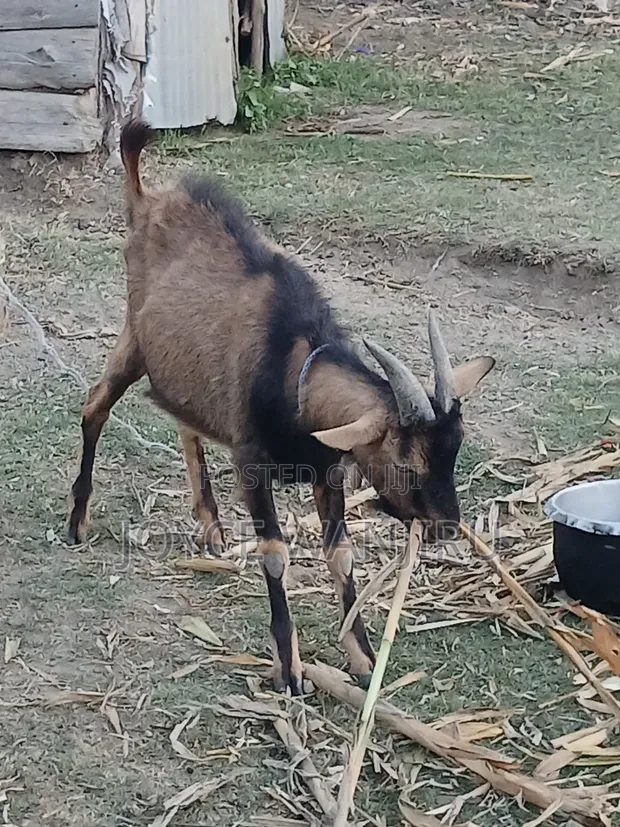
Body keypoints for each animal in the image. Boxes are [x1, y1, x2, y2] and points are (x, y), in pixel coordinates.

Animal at [68, 119, 495, 695]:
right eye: (407, 460)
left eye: (456, 450)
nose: (447, 526)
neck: (293, 363)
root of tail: (144, 198)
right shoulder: (251, 464)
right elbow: (274, 554)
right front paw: (289, 670)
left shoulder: (329, 469)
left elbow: (340, 552)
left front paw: (363, 659)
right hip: (133, 339)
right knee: (95, 407)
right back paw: (78, 521)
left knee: (185, 422)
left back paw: (212, 527)